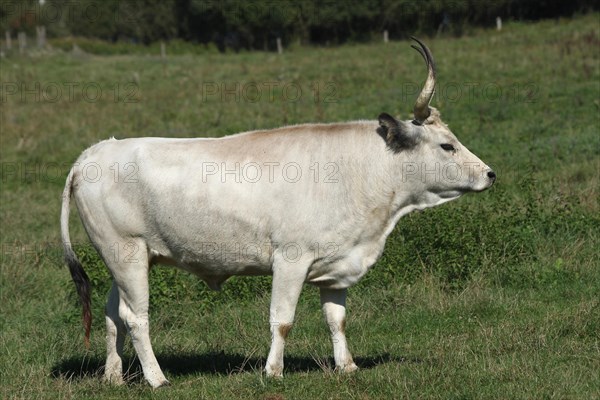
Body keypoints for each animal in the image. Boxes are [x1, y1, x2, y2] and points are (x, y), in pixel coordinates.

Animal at [61, 38, 494, 388]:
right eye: (447, 146)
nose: (490, 174)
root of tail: (93, 153)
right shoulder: (290, 258)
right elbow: (282, 319)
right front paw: (273, 372)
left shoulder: (336, 263)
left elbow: (336, 318)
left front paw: (347, 367)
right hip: (126, 252)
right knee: (136, 317)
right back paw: (156, 378)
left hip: (126, 257)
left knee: (113, 314)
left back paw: (114, 377)